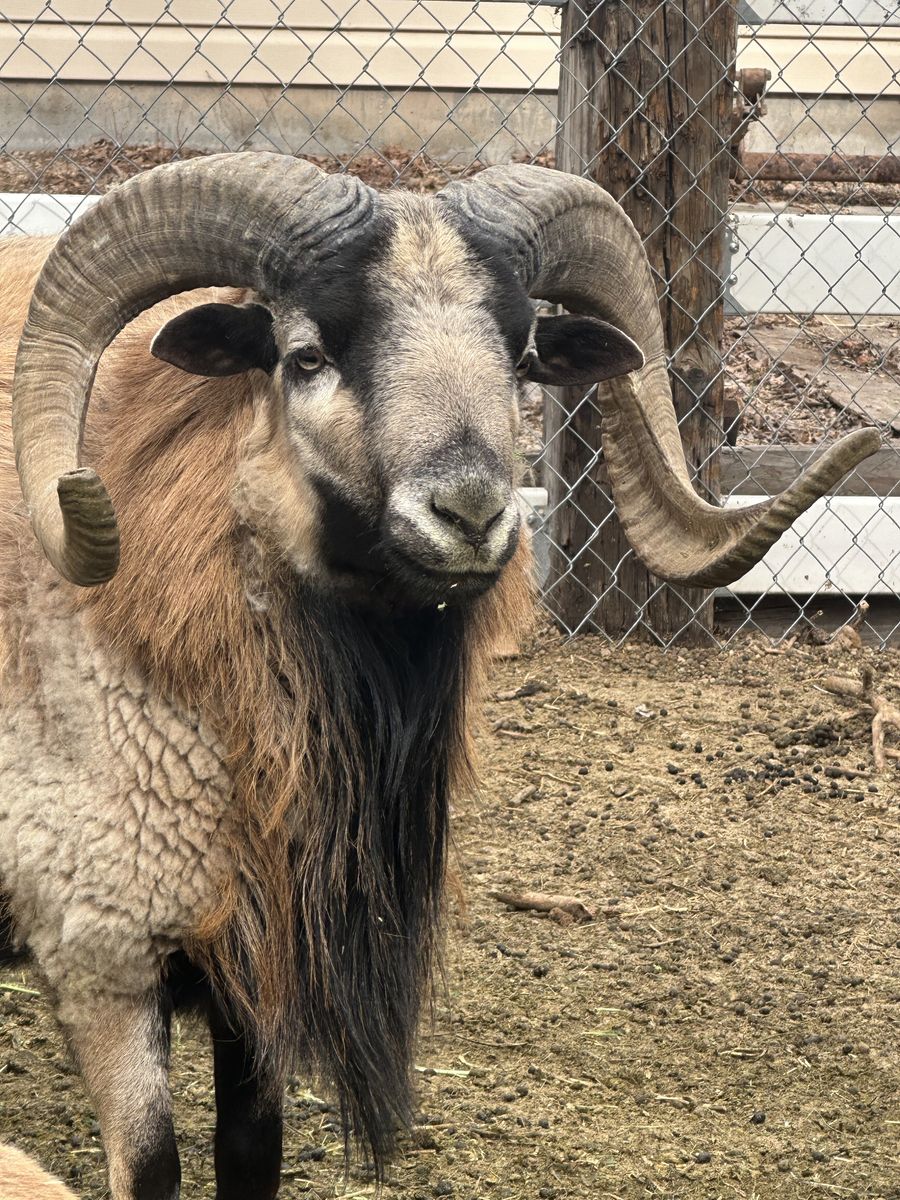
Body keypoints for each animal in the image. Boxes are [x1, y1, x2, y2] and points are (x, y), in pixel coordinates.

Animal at [0, 153, 878, 1200]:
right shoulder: (102, 958)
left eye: (526, 356)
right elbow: (154, 1167)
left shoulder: (257, 965)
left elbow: (252, 1155)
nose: (469, 514)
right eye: (304, 357)